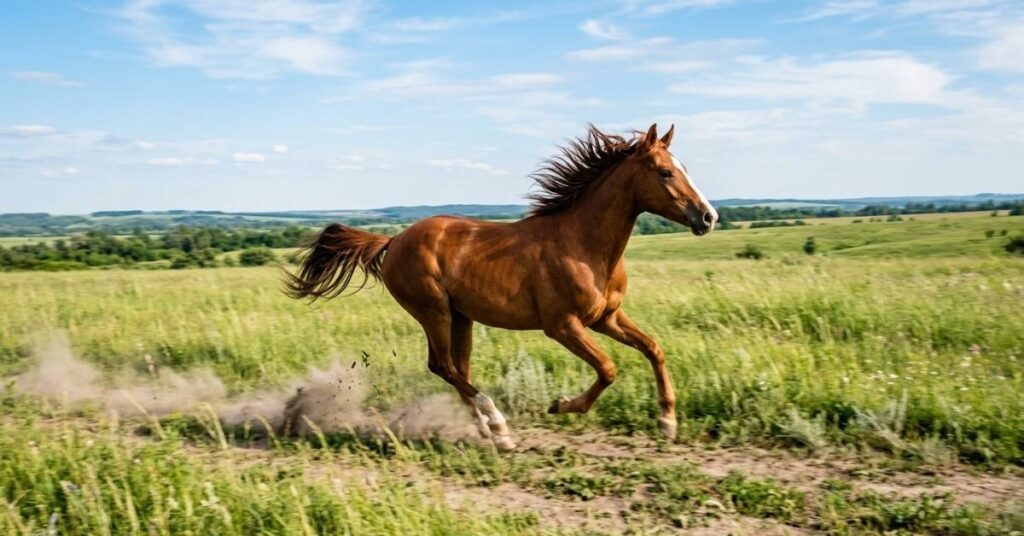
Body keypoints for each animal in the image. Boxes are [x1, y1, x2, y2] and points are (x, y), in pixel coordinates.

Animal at [285, 124, 718, 450]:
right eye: (665, 172)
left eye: (682, 167)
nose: (708, 217)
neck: (583, 245)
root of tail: (392, 241)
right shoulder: (563, 325)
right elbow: (608, 368)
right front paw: (560, 405)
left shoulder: (606, 317)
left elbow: (654, 349)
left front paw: (668, 422)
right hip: (433, 311)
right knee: (442, 366)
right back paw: (499, 425)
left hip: (461, 317)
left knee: (456, 368)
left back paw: (491, 433)